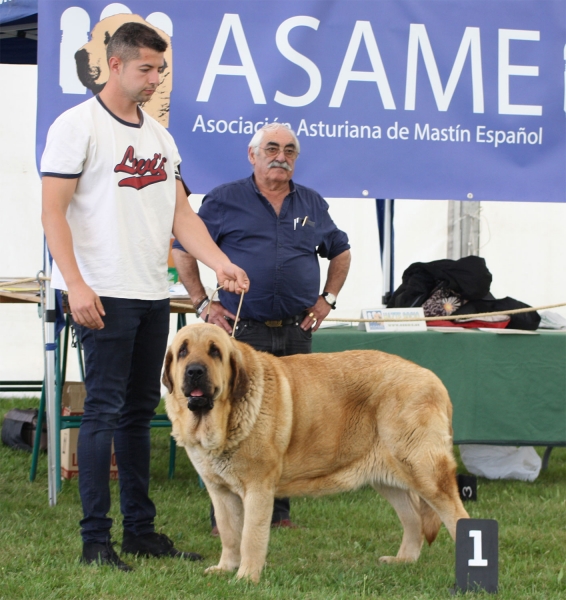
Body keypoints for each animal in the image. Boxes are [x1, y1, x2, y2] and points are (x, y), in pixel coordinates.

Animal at [163, 324, 470, 580]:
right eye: (183, 351)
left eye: (215, 351)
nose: (194, 371)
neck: (223, 420)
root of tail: (434, 380)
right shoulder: (220, 491)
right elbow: (229, 533)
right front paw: (226, 568)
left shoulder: (258, 489)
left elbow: (250, 536)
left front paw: (246, 577)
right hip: (390, 478)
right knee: (413, 519)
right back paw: (403, 561)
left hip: (425, 473)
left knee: (457, 517)